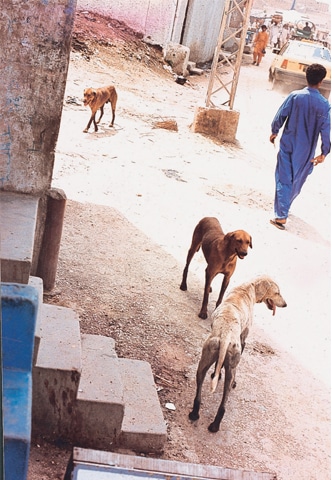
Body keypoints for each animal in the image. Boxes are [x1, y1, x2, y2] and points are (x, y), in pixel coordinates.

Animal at [188, 276, 286, 434]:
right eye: (277, 293)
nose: (286, 304)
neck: (248, 287)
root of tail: (226, 333)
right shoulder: (243, 340)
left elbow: (218, 366)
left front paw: (216, 374)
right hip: (231, 368)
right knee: (223, 404)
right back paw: (215, 425)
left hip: (203, 362)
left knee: (199, 393)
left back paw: (195, 414)